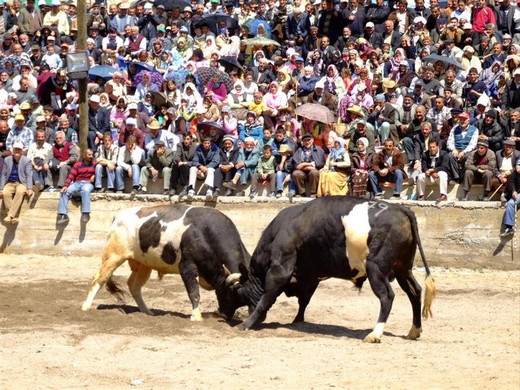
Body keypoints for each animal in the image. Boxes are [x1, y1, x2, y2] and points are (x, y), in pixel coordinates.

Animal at [81, 204, 250, 320]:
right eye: (232, 295)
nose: (225, 315)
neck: (205, 232)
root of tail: (119, 216)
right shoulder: (187, 266)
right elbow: (194, 293)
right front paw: (196, 317)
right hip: (113, 256)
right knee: (99, 278)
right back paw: (86, 306)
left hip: (143, 264)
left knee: (134, 285)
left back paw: (147, 312)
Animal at [228, 197, 434, 342]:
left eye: (240, 294)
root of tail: (400, 208)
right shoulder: (311, 277)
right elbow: (304, 301)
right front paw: (298, 320)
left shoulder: (280, 270)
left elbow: (266, 298)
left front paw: (246, 323)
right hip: (402, 268)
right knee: (415, 291)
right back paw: (414, 330)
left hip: (376, 268)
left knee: (387, 296)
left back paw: (375, 333)